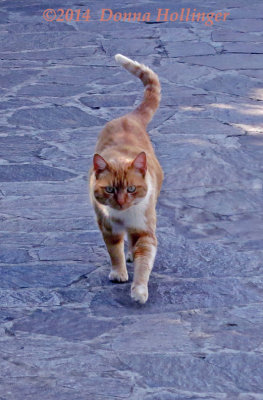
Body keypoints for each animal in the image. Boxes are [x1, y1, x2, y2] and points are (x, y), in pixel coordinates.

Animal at [89, 53, 164, 304]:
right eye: (110, 190)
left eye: (131, 189)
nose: (121, 202)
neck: (123, 216)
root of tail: (129, 118)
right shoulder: (107, 227)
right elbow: (114, 252)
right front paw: (119, 273)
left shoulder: (145, 232)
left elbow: (143, 263)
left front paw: (139, 290)